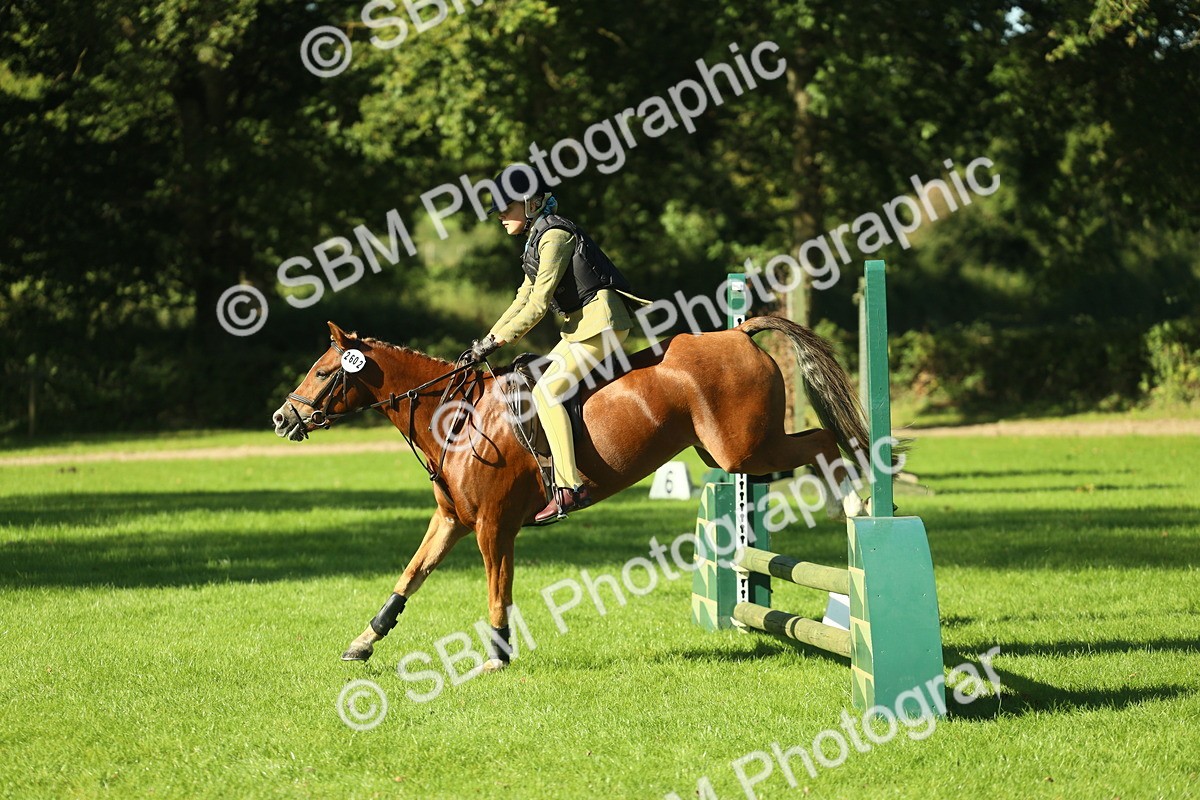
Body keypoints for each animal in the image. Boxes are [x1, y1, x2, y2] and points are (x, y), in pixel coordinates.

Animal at [272, 318, 871, 667]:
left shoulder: (493, 527)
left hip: (743, 451)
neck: (458, 419)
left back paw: (856, 506)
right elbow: (408, 579)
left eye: (323, 373)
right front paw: (363, 642)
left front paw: (497, 657)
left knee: (826, 441)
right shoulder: (451, 521)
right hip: (729, 453)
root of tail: (738, 333)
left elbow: (497, 591)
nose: (281, 419)